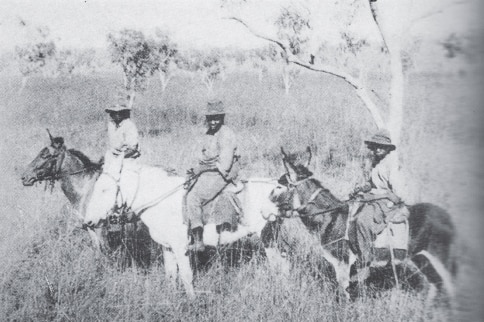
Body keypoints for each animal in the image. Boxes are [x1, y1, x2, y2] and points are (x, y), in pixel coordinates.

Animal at [20, 132, 153, 268]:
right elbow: (98, 251)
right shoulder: (91, 228)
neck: (85, 189)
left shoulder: (100, 228)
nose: (24, 177)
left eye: (45, 155)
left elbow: (106, 252)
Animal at [266, 148, 456, 302]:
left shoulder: (342, 263)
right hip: (422, 258)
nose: (265, 210)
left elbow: (343, 293)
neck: (332, 217)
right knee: (436, 285)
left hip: (440, 257)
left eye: (279, 186)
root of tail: (446, 216)